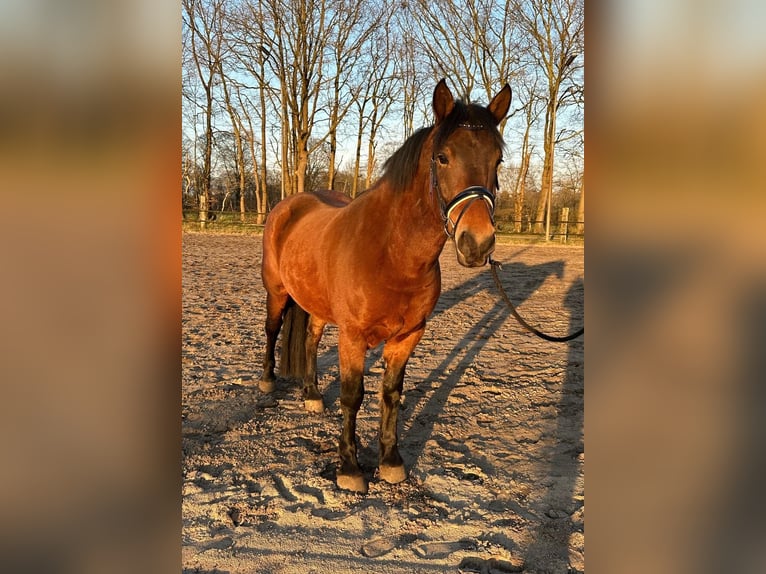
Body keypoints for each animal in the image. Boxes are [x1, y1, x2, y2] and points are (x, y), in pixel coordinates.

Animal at [260, 78, 511, 493]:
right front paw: (349, 468)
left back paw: (312, 395)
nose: (477, 243)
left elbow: (391, 394)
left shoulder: (408, 335)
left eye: (498, 160)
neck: (391, 254)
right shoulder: (353, 335)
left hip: (315, 304)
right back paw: (266, 383)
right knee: (272, 330)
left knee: (310, 339)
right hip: (277, 293)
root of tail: (290, 205)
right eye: (442, 158)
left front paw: (391, 461)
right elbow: (352, 395)